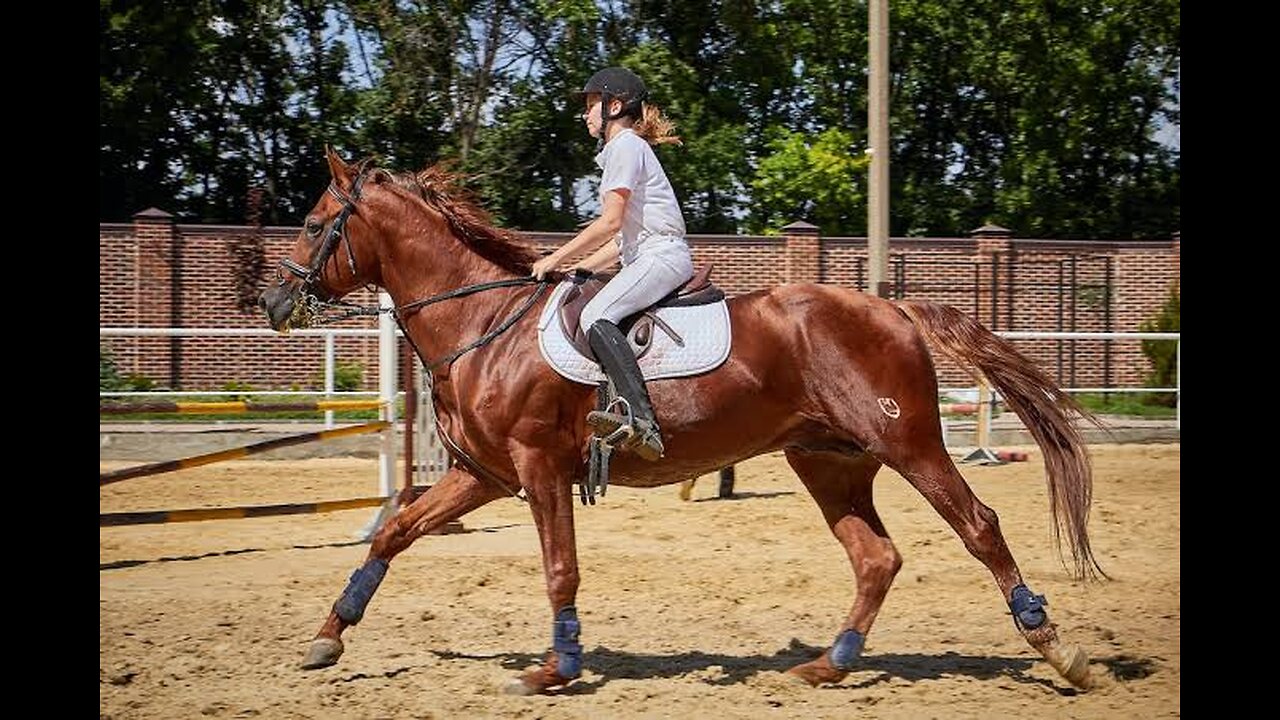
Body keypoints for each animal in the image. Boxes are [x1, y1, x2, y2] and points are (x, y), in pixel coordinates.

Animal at [257, 148, 1100, 691]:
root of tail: (891, 307)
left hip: (909, 443)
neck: (483, 323)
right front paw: (328, 637)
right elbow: (395, 532)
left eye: (314, 224)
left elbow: (559, 567)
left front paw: (556, 668)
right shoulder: (483, 476)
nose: (271, 302)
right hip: (829, 460)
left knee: (979, 527)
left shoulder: (537, 469)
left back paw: (1058, 650)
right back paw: (829, 664)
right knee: (875, 558)